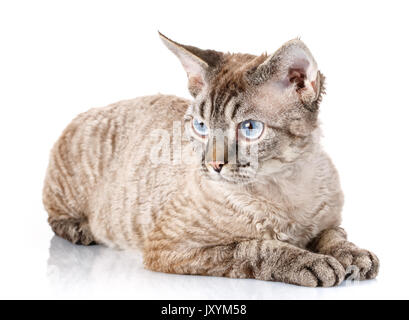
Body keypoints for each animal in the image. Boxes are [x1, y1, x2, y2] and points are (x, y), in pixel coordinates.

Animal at [43, 33, 378, 288]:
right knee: (55, 219)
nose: (213, 165)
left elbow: (333, 233)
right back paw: (81, 230)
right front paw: (309, 262)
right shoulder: (171, 246)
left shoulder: (329, 220)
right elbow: (254, 248)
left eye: (250, 128)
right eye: (200, 126)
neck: (284, 185)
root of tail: (89, 109)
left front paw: (351, 254)